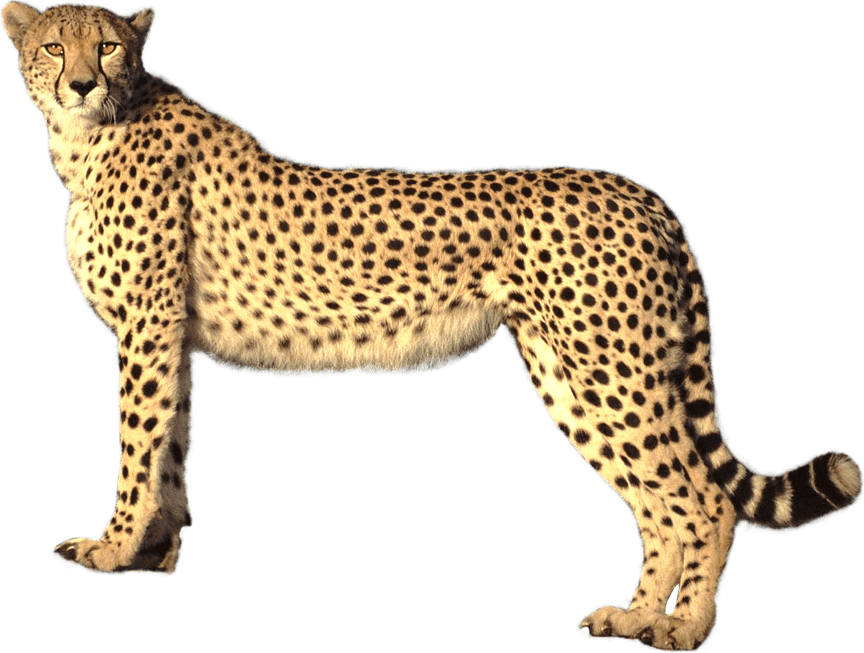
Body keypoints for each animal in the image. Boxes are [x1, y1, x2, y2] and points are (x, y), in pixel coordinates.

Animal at [2, 2, 861, 650]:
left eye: (107, 44)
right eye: (53, 44)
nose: (81, 83)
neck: (93, 134)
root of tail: (642, 191)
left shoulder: (147, 327)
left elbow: (136, 445)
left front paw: (112, 547)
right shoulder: (171, 334)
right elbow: (171, 447)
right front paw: (153, 554)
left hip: (611, 370)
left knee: (702, 500)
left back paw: (685, 628)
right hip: (571, 374)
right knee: (658, 505)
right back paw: (636, 614)